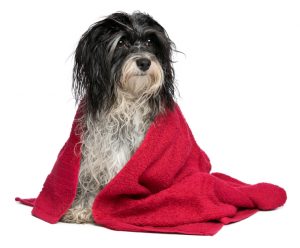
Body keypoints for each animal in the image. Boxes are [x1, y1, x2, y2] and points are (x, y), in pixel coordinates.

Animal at [60, 11, 176, 223]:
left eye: (149, 41)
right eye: (121, 43)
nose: (144, 62)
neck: (128, 101)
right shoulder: (96, 151)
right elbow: (91, 177)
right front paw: (82, 208)